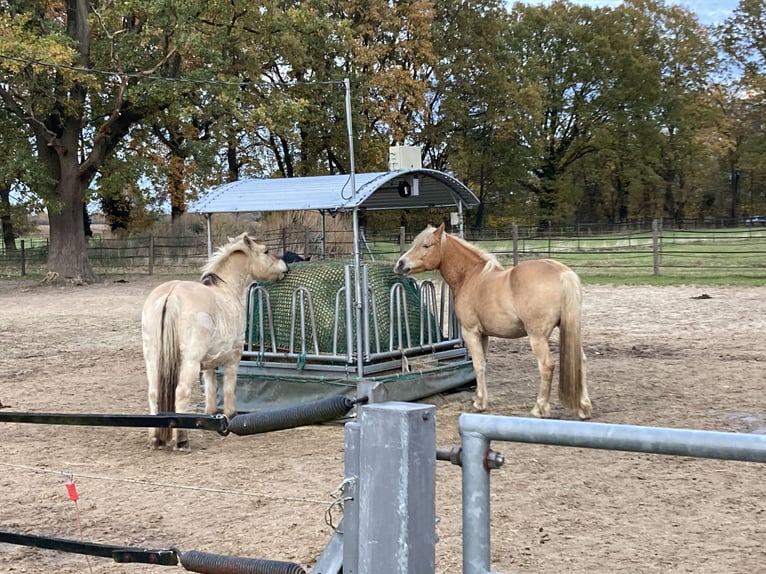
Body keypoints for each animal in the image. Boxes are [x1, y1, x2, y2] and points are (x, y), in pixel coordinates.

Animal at [141, 232, 288, 450]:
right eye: (266, 251)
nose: (284, 266)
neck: (226, 288)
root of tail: (171, 295)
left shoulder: (208, 364)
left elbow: (211, 389)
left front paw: (209, 416)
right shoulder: (234, 358)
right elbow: (228, 387)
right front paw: (230, 416)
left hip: (153, 360)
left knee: (153, 394)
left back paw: (156, 439)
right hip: (189, 363)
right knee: (181, 393)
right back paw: (182, 440)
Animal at [394, 223, 591, 420]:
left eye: (426, 245)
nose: (400, 264)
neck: (469, 276)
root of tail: (563, 273)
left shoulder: (471, 332)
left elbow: (478, 365)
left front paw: (480, 403)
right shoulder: (484, 334)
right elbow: (483, 363)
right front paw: (477, 397)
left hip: (537, 337)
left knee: (546, 366)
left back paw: (540, 408)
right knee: (580, 361)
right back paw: (584, 408)